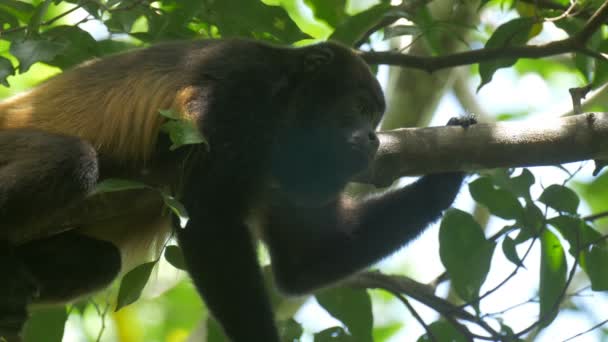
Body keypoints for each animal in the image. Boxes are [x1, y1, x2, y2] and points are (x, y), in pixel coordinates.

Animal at [0, 38, 468, 340]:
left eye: (374, 117)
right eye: (359, 107)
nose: (372, 138)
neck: (282, 108)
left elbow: (305, 258)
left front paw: (449, 174)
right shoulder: (236, 95)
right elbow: (210, 221)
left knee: (101, 261)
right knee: (74, 162)